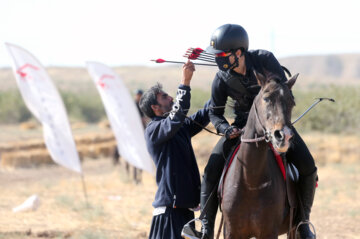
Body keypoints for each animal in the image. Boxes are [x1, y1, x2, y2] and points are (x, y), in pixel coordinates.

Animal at [222, 71, 298, 239]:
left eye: (292, 102)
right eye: (266, 98)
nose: (284, 136)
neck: (251, 182)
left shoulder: (268, 232)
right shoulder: (231, 232)